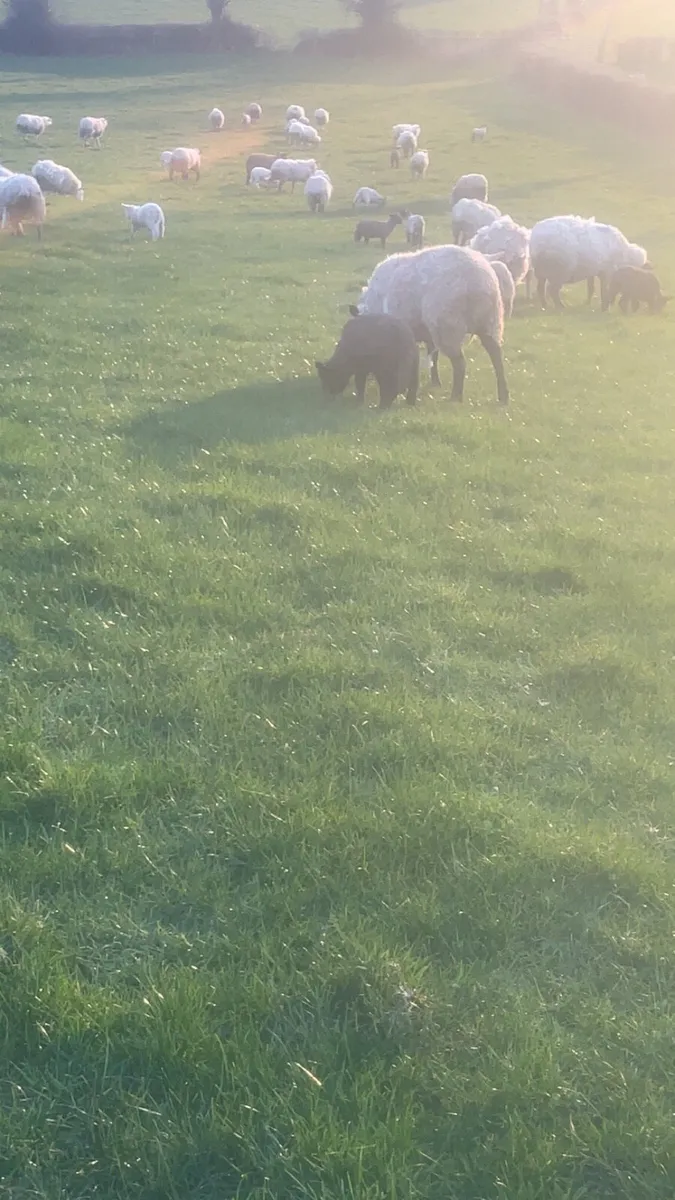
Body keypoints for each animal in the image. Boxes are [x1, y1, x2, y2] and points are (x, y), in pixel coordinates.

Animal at [351, 244, 509, 404]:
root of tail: (479, 279)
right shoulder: (428, 334)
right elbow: (434, 356)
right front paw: (435, 382)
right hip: (489, 322)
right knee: (496, 356)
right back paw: (503, 396)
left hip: (448, 325)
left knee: (460, 363)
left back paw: (456, 397)